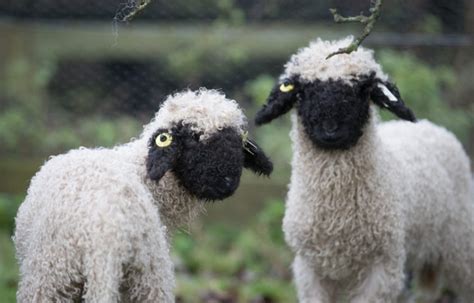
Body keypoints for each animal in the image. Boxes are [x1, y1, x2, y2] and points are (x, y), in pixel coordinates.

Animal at [256, 38, 474, 303]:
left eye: (361, 90)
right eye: (303, 91)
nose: (330, 129)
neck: (337, 214)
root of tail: (433, 127)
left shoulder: (381, 266)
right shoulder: (309, 268)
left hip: (460, 246)